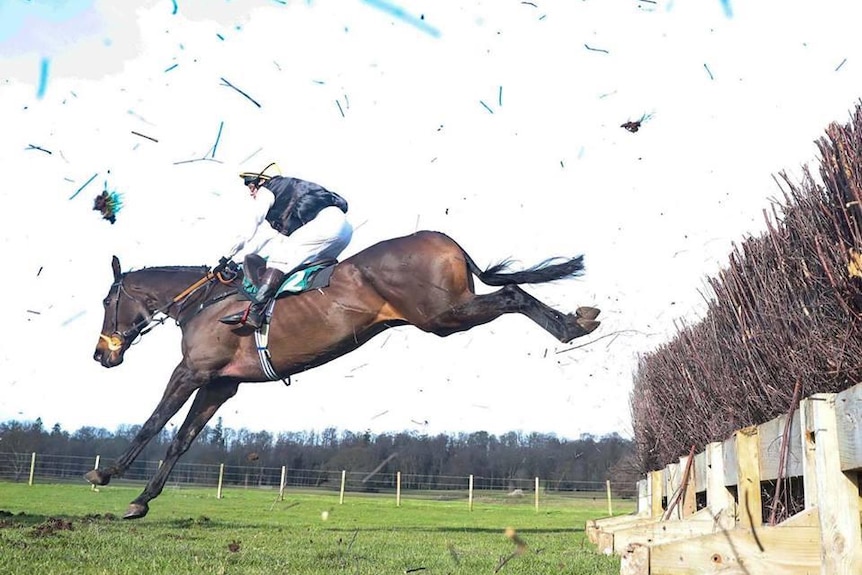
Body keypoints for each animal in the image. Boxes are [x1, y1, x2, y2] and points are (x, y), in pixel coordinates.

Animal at [87, 230, 600, 518]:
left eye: (107, 301)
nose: (100, 355)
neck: (204, 303)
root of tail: (445, 240)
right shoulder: (220, 382)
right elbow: (180, 440)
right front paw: (141, 500)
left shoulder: (192, 370)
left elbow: (153, 423)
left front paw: (107, 473)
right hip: (446, 314)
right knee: (513, 290)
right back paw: (576, 321)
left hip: (442, 316)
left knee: (511, 292)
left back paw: (570, 324)